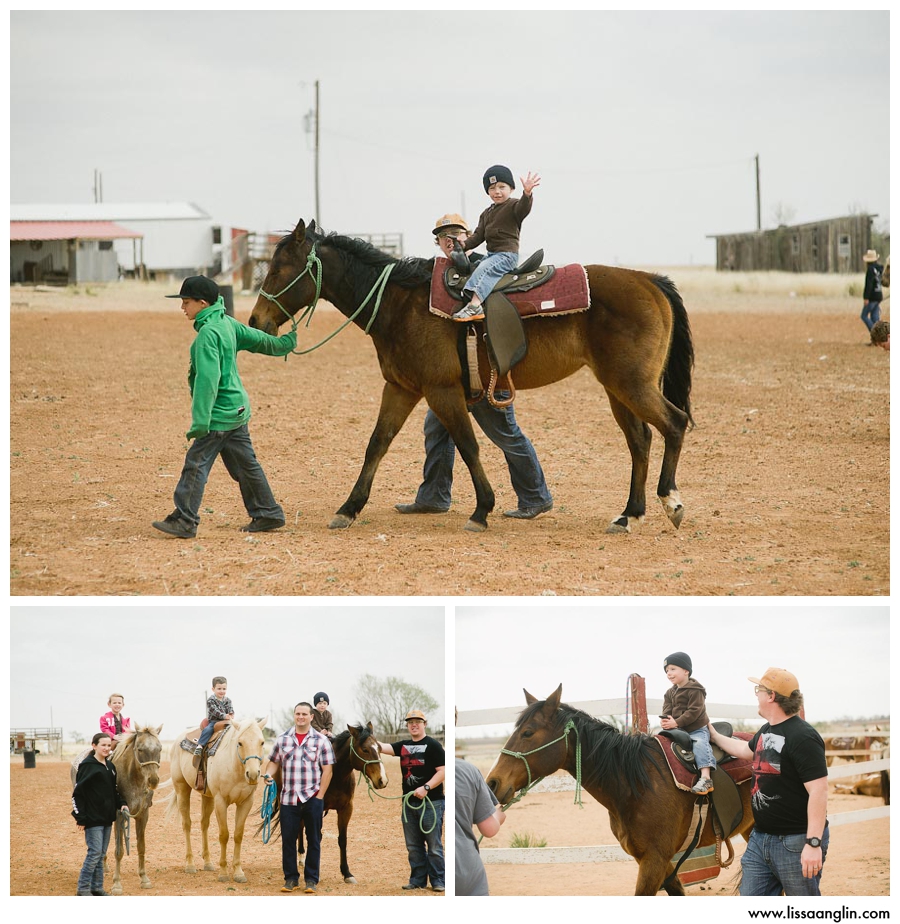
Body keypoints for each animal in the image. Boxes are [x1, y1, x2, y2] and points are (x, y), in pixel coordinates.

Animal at [69, 724, 164, 892]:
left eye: (159, 748)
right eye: (140, 749)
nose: (153, 780)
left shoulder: (143, 814)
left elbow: (141, 846)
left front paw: (144, 878)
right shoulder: (120, 814)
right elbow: (119, 850)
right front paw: (117, 883)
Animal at [165, 720, 268, 884]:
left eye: (262, 742)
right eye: (240, 742)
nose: (252, 774)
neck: (235, 767)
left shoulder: (246, 802)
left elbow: (238, 835)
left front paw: (238, 872)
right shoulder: (221, 801)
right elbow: (224, 835)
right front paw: (224, 873)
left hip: (208, 797)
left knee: (204, 824)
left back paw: (208, 863)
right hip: (182, 789)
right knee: (187, 824)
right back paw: (190, 864)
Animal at [248, 218, 696, 536]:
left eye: (280, 268)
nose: (255, 321)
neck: (401, 302)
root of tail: (649, 280)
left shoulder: (441, 391)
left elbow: (467, 446)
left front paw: (482, 510)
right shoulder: (401, 389)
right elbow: (377, 444)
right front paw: (348, 509)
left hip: (632, 385)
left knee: (674, 424)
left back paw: (670, 502)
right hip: (617, 388)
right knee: (640, 440)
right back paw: (628, 516)